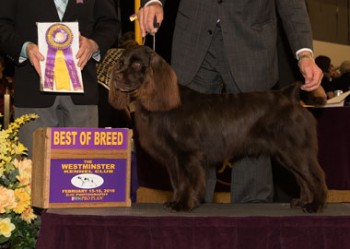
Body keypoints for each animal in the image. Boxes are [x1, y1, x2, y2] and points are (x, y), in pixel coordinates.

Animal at [108, 44, 326, 212]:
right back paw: (302, 202)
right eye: (121, 62)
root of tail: (290, 95)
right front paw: (174, 201)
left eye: (137, 64)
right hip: (286, 152)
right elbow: (177, 181)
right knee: (303, 177)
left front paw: (183, 204)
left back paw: (315, 205)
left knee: (314, 176)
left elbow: (187, 181)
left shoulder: (187, 153)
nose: (116, 77)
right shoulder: (172, 157)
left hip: (295, 149)